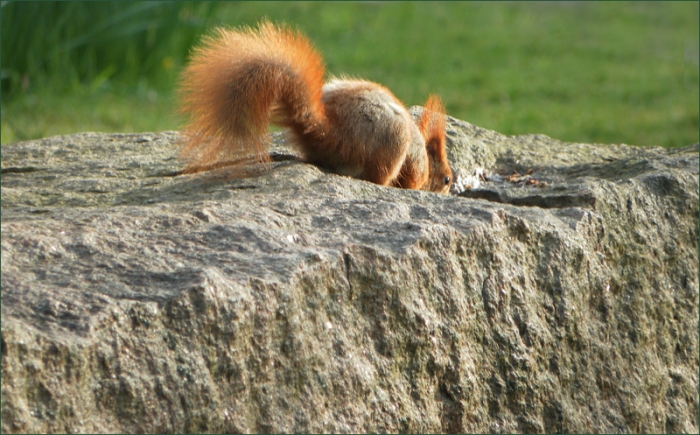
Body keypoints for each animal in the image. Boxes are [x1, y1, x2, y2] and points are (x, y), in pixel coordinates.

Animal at [178, 21, 452, 194]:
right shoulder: (416, 166)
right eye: (447, 179)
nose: (446, 191)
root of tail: (331, 132)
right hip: (392, 142)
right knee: (376, 177)